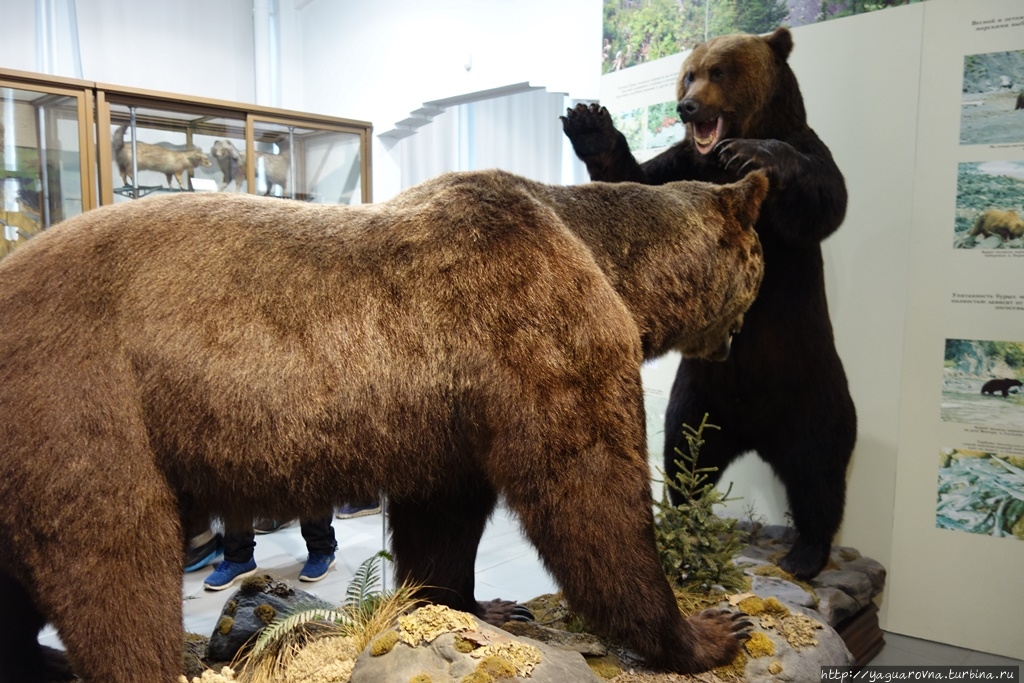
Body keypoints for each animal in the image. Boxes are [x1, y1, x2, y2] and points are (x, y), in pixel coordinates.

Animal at [0, 166, 770, 683]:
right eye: (762, 258)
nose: (745, 327)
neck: (611, 262)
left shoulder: (453, 414)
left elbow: (443, 523)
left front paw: (488, 606)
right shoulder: (541, 332)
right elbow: (592, 498)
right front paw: (712, 629)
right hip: (83, 403)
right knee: (112, 562)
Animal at [561, 28, 856, 581]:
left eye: (719, 71)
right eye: (688, 74)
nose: (686, 105)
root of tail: (754, 432)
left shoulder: (810, 153)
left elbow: (822, 200)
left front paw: (753, 153)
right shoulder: (680, 168)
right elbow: (636, 183)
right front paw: (590, 125)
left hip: (810, 388)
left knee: (819, 469)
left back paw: (807, 552)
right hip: (699, 396)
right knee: (684, 458)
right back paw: (680, 521)